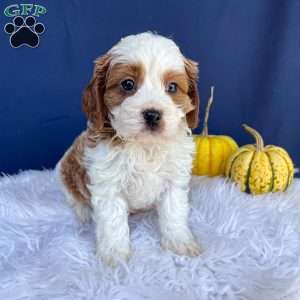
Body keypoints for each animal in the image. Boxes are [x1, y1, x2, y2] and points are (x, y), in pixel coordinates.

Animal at [56, 32, 202, 268]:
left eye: (172, 87)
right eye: (127, 84)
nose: (152, 114)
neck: (144, 146)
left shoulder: (173, 180)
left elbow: (174, 213)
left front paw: (180, 243)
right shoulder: (108, 185)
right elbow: (113, 223)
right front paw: (115, 256)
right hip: (63, 171)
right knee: (73, 198)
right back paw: (83, 212)